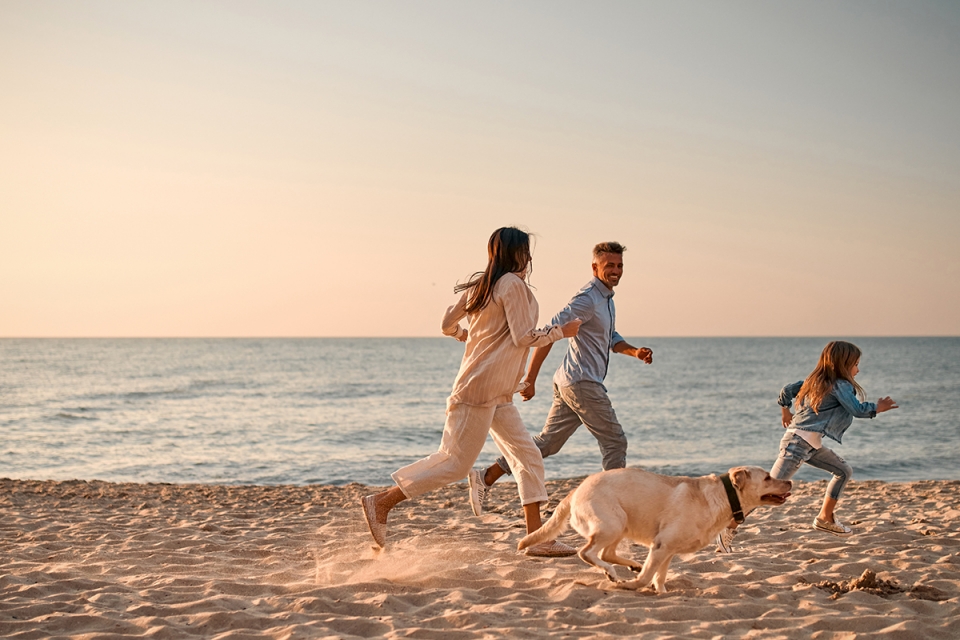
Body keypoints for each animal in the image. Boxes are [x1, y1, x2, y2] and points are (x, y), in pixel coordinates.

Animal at [520, 464, 792, 596]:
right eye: (767, 478)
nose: (789, 481)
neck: (725, 496)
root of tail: (577, 488)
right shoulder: (662, 545)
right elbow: (647, 576)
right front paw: (631, 586)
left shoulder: (666, 549)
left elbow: (659, 575)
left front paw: (660, 591)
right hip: (612, 523)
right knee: (587, 553)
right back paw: (613, 573)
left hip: (620, 525)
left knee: (606, 553)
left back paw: (630, 565)